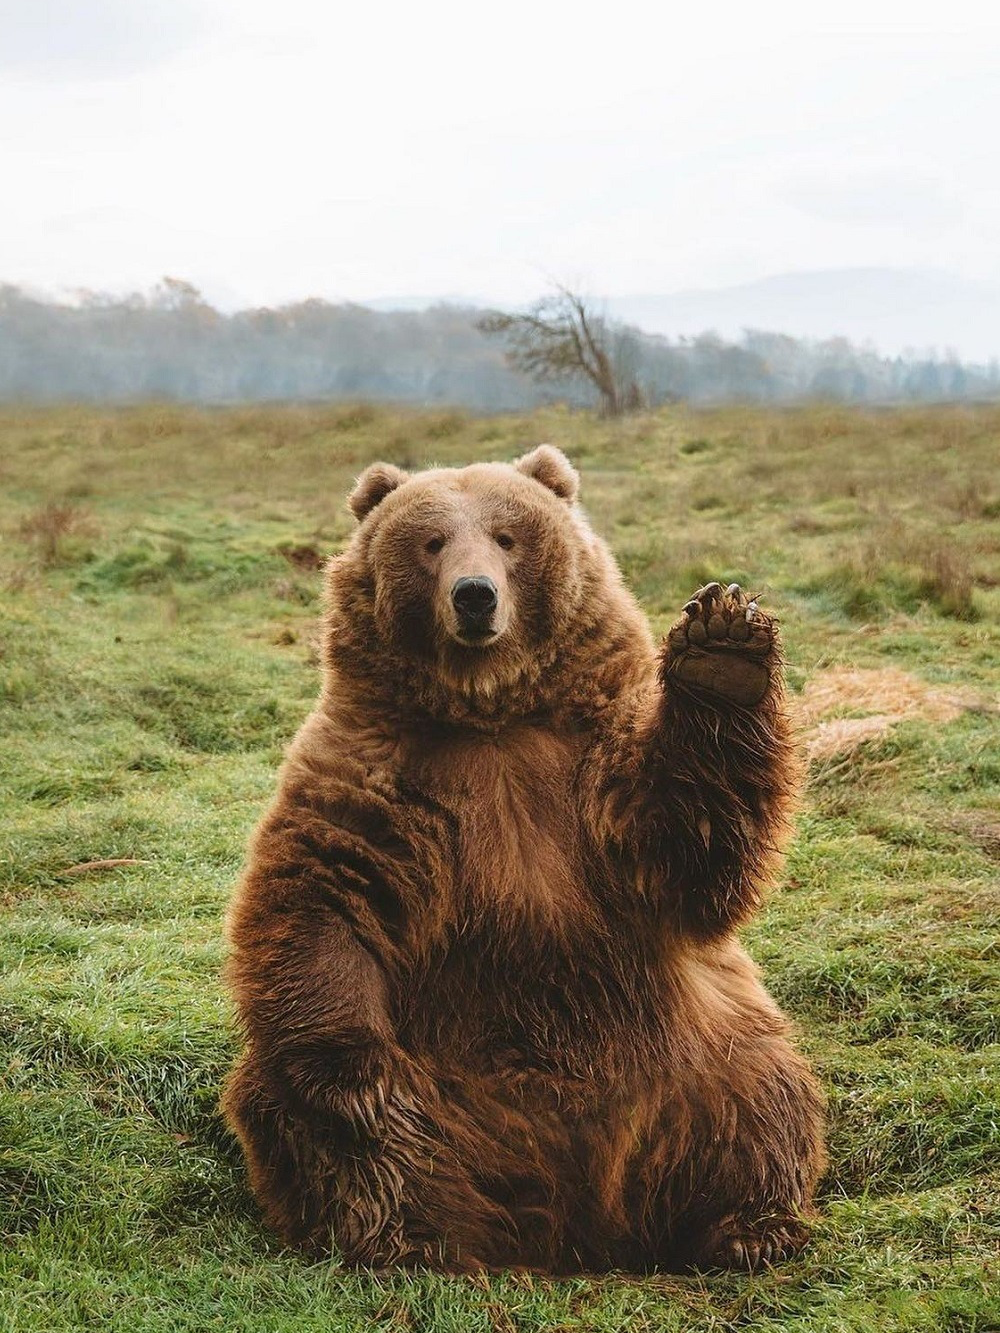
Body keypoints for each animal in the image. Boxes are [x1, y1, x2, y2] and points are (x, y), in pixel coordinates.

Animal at [221, 444, 825, 1274]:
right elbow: (320, 898)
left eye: (508, 536)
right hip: (450, 1085)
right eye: (431, 541)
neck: (491, 714)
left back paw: (745, 1226)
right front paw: (355, 1079)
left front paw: (722, 647)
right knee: (326, 1131)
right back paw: (407, 1235)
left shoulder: (590, 774)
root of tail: (574, 1217)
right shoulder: (374, 776)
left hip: (694, 1056)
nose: (475, 596)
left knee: (758, 1096)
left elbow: (690, 843)